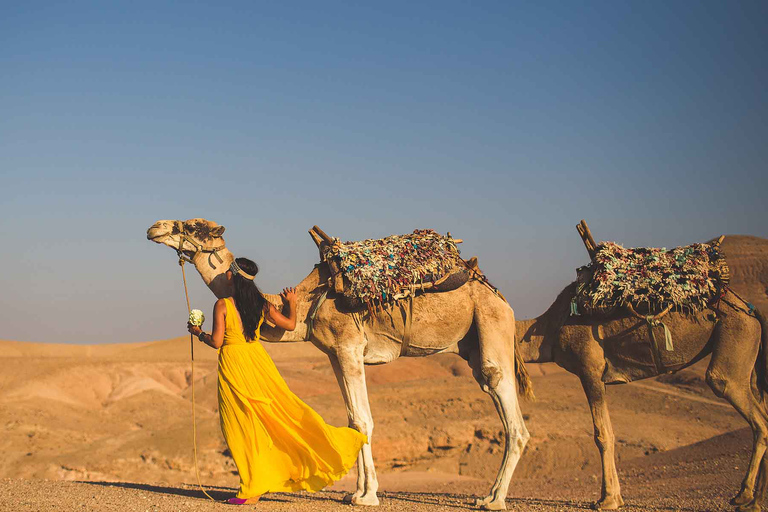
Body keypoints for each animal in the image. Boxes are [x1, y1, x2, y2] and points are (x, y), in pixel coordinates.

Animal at [148, 218, 536, 510]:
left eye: (194, 226)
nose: (155, 227)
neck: (308, 301)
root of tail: (500, 296)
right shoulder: (335, 354)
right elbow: (353, 420)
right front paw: (356, 492)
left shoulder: (350, 347)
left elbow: (364, 420)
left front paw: (368, 496)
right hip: (472, 342)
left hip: (491, 324)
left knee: (510, 412)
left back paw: (492, 500)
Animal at [512, 268, 768, 508]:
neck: (549, 330)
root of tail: (751, 310)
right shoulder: (598, 377)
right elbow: (610, 431)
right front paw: (615, 497)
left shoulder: (590, 370)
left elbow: (602, 435)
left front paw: (607, 500)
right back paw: (756, 500)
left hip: (736, 334)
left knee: (737, 397)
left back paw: (744, 495)